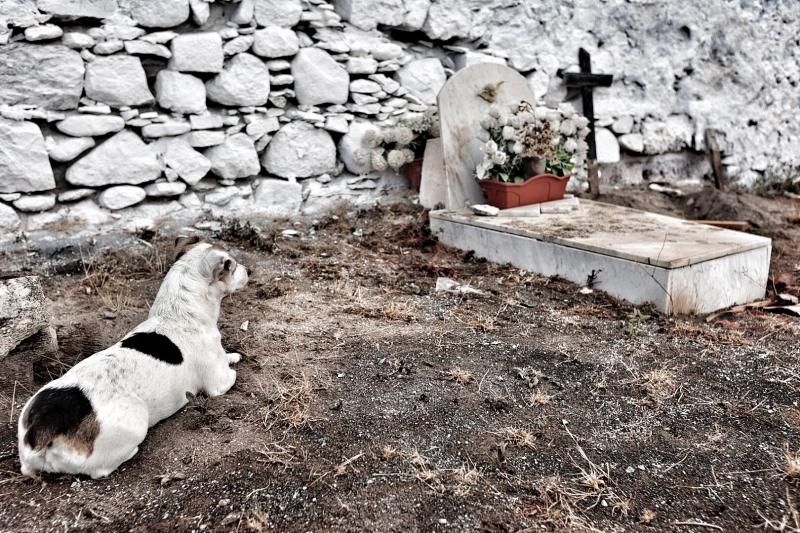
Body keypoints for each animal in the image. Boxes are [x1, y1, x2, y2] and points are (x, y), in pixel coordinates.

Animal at [17, 237, 248, 478]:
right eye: (231, 266)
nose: (249, 271)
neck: (176, 315)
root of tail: (42, 428)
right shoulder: (218, 384)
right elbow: (232, 373)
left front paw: (231, 355)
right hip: (136, 421)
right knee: (102, 468)